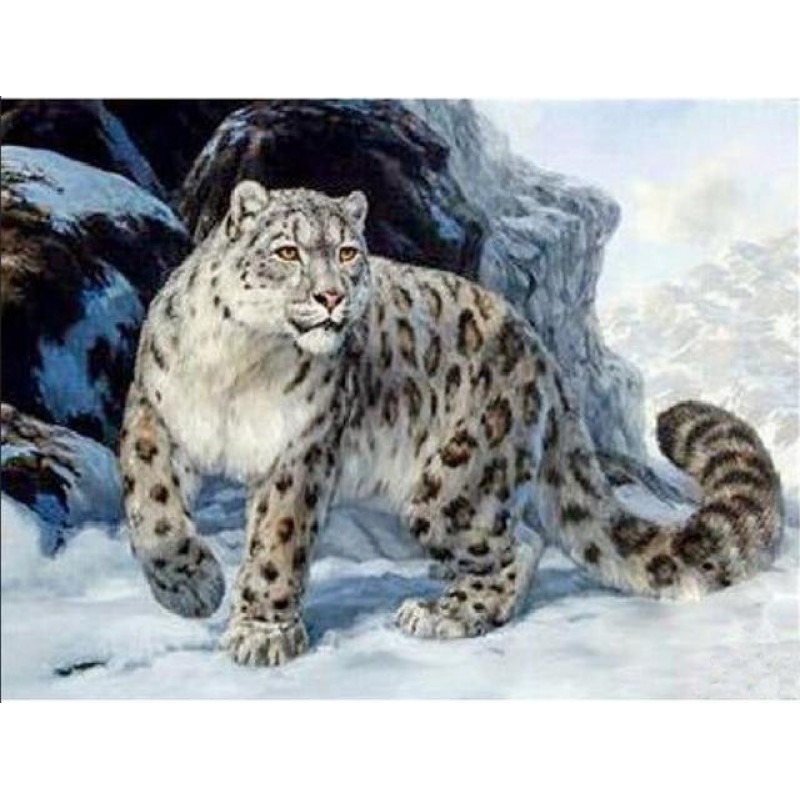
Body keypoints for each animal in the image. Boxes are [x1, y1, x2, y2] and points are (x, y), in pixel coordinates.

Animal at [119, 180, 784, 667]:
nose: (333, 297)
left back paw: (444, 612)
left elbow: (277, 541)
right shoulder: (155, 411)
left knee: (519, 543)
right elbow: (150, 503)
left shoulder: (301, 449)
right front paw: (189, 586)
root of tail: (542, 354)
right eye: (288, 251)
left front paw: (261, 631)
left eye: (347, 252)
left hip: (454, 484)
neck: (243, 363)